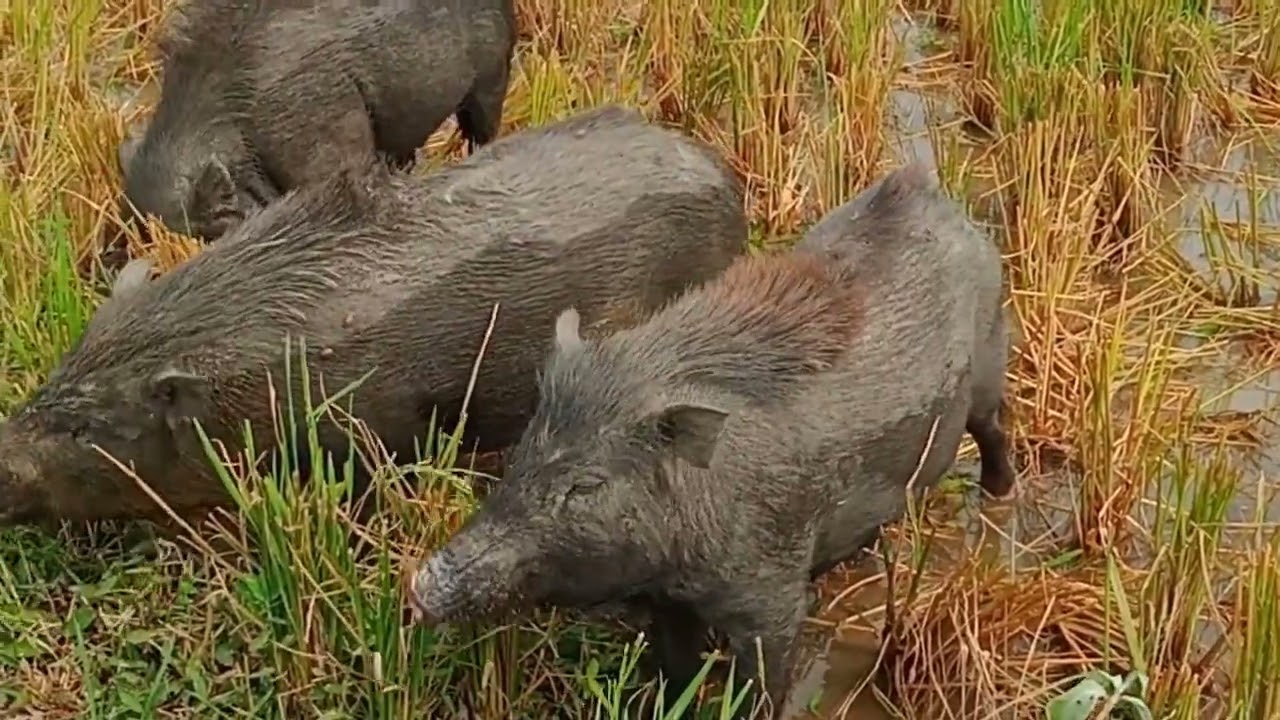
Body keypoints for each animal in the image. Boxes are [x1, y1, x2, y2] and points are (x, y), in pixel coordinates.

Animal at [405, 160, 1017, 719]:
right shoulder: (668, 601)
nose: (422, 585)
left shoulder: (771, 601)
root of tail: (918, 184)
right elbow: (674, 668)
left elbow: (761, 682)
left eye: (586, 486)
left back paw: (999, 496)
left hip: (991, 362)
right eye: (524, 454)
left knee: (993, 432)